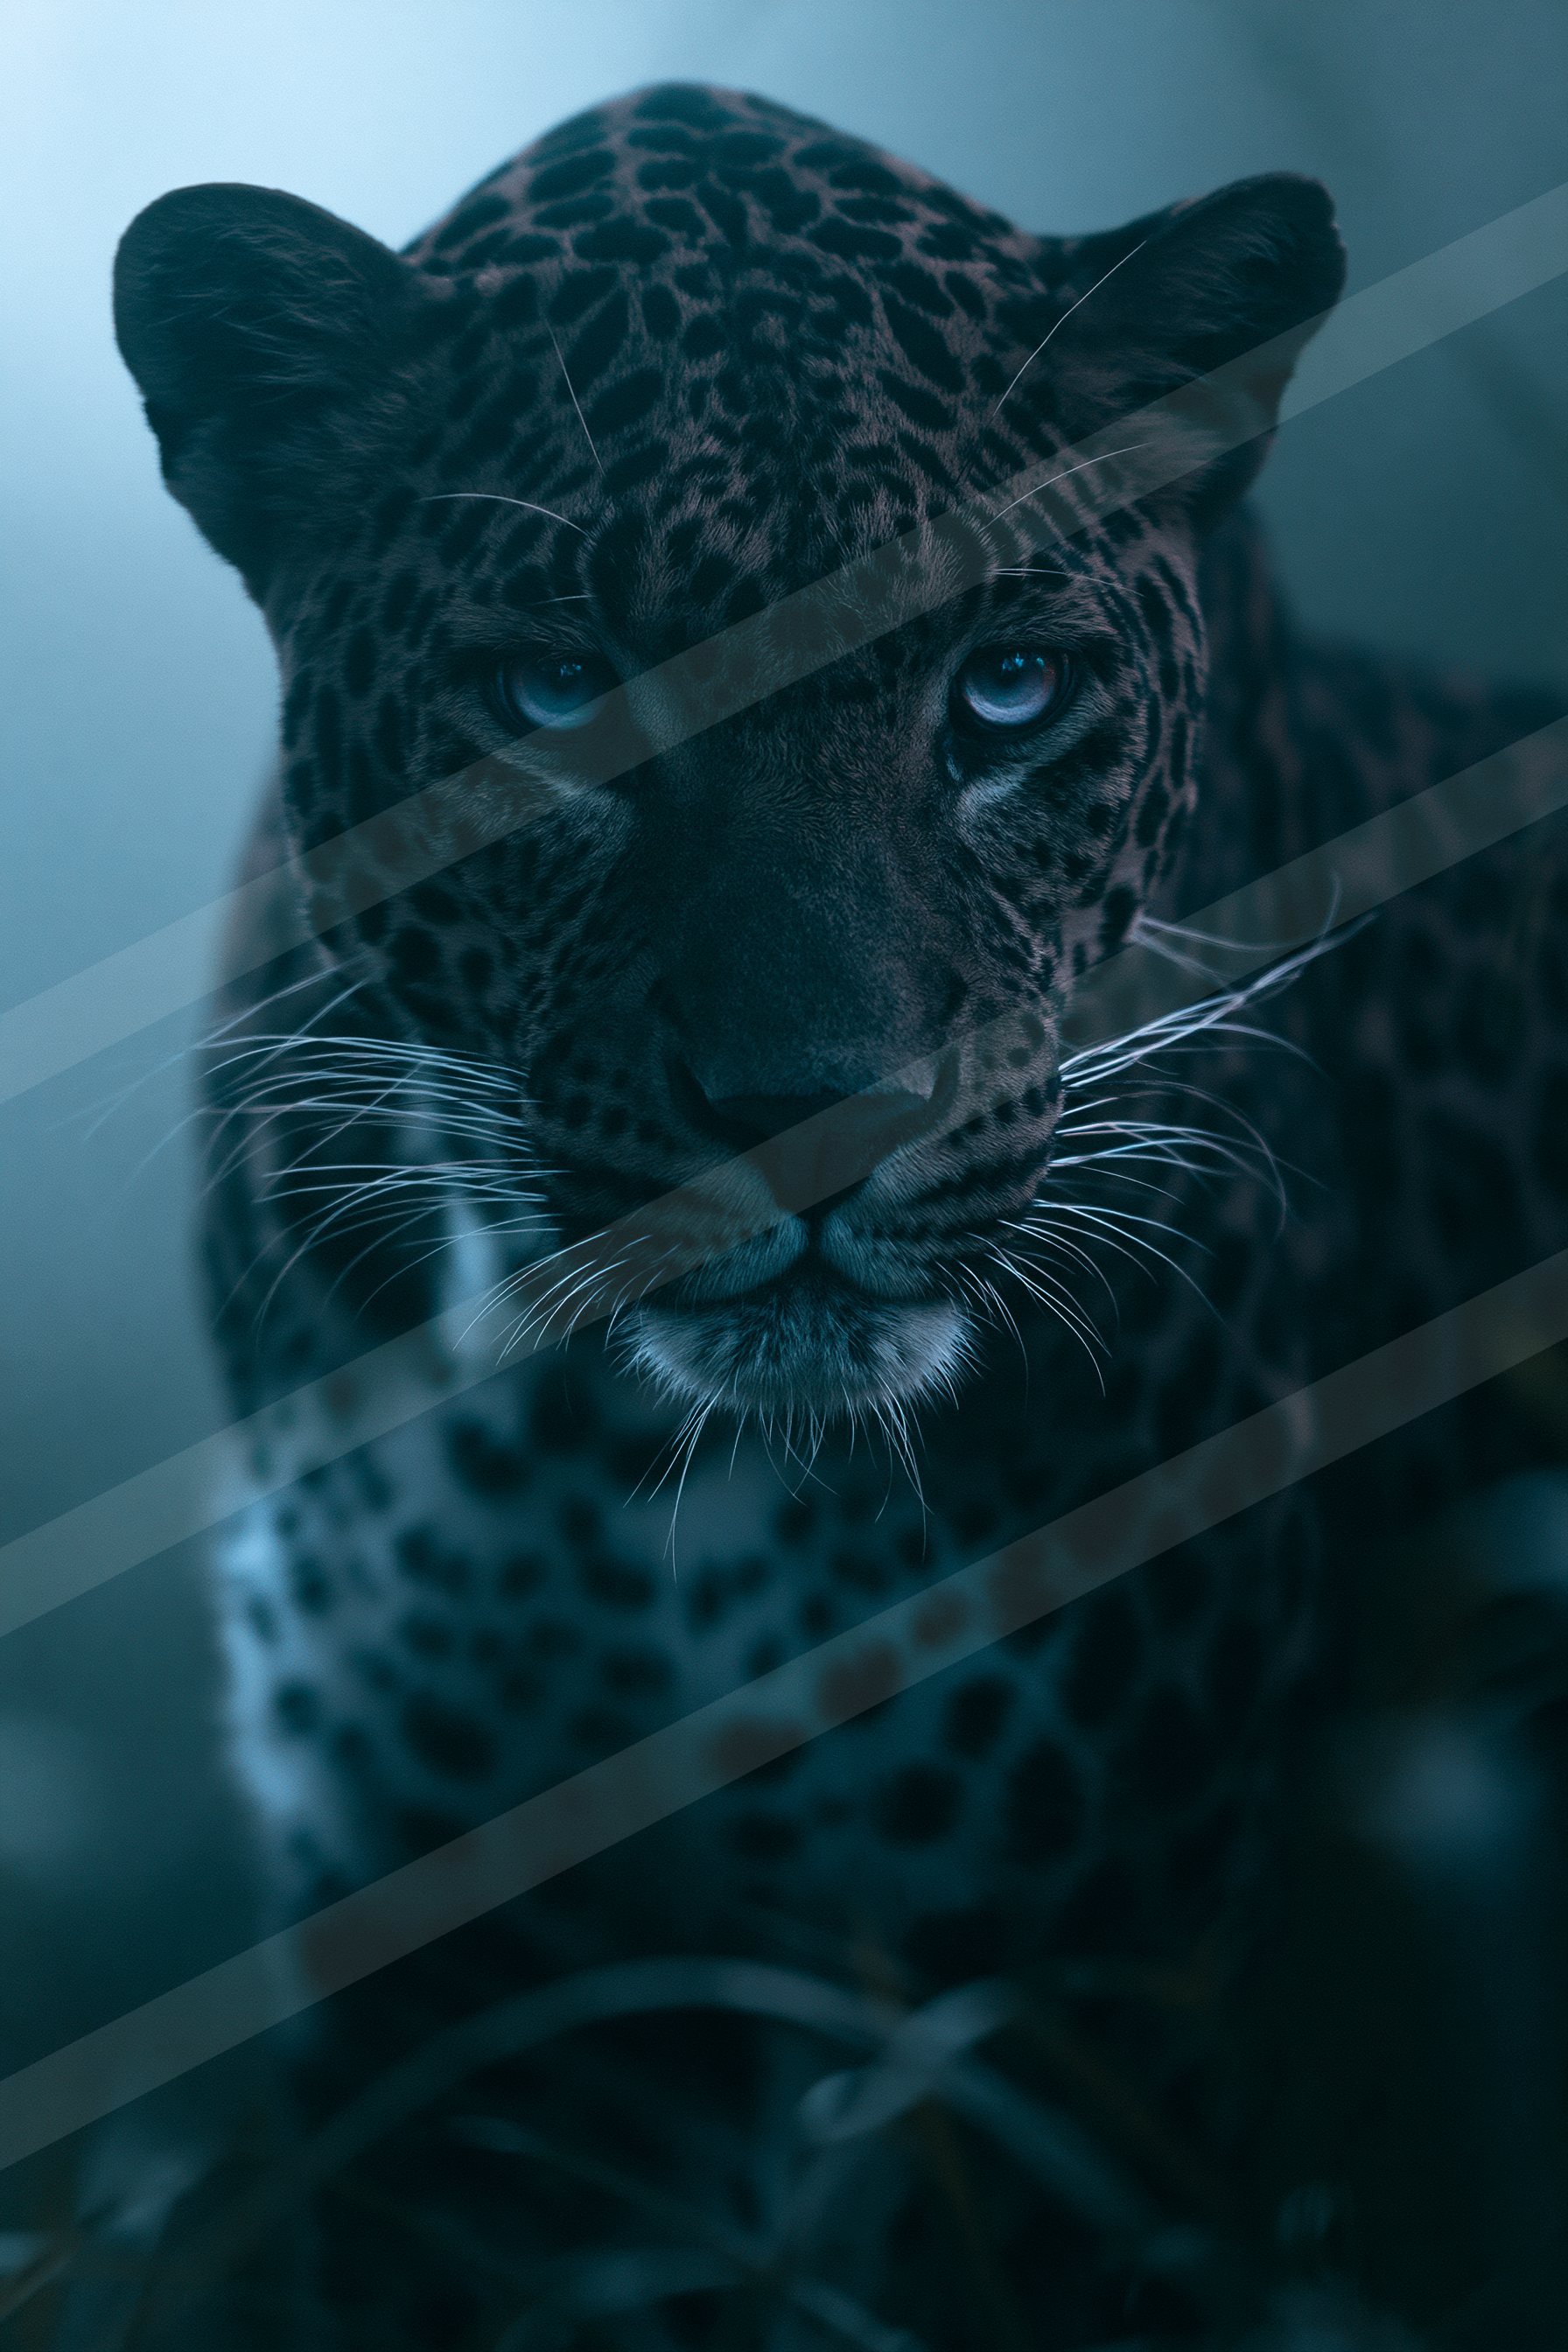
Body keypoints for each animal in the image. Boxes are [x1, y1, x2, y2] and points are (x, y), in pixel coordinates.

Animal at [113, 81, 1568, 2350]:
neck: (610, 1468)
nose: (812, 1119)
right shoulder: (464, 2011)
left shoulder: (1073, 1988)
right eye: (557, 696)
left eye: (1005, 692)